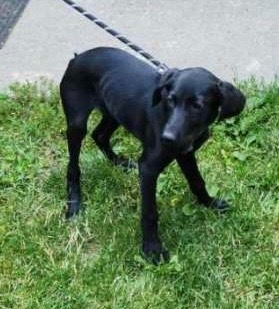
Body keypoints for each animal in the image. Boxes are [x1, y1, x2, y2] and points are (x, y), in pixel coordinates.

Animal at [60, 47, 246, 264]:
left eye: (197, 105)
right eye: (171, 100)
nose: (167, 138)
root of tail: (78, 57)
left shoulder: (186, 153)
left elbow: (197, 181)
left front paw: (209, 203)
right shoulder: (149, 168)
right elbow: (150, 212)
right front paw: (152, 249)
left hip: (114, 110)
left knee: (99, 135)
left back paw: (121, 163)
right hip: (77, 122)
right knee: (73, 166)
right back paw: (74, 204)